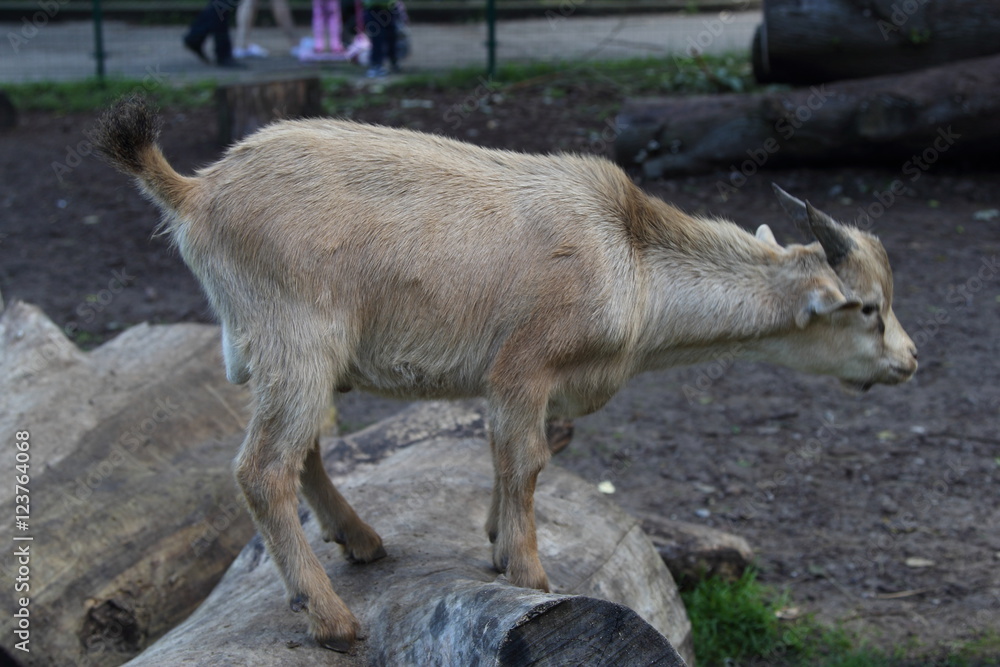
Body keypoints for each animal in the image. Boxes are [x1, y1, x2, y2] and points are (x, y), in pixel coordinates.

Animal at [94, 96, 917, 652]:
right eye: (869, 308)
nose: (910, 360)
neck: (634, 259)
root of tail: (196, 190)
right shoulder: (525, 364)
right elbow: (526, 460)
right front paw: (530, 574)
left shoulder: (518, 385)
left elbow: (506, 457)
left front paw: (494, 541)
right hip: (297, 339)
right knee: (262, 467)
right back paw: (332, 618)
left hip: (289, 356)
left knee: (304, 450)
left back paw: (360, 540)